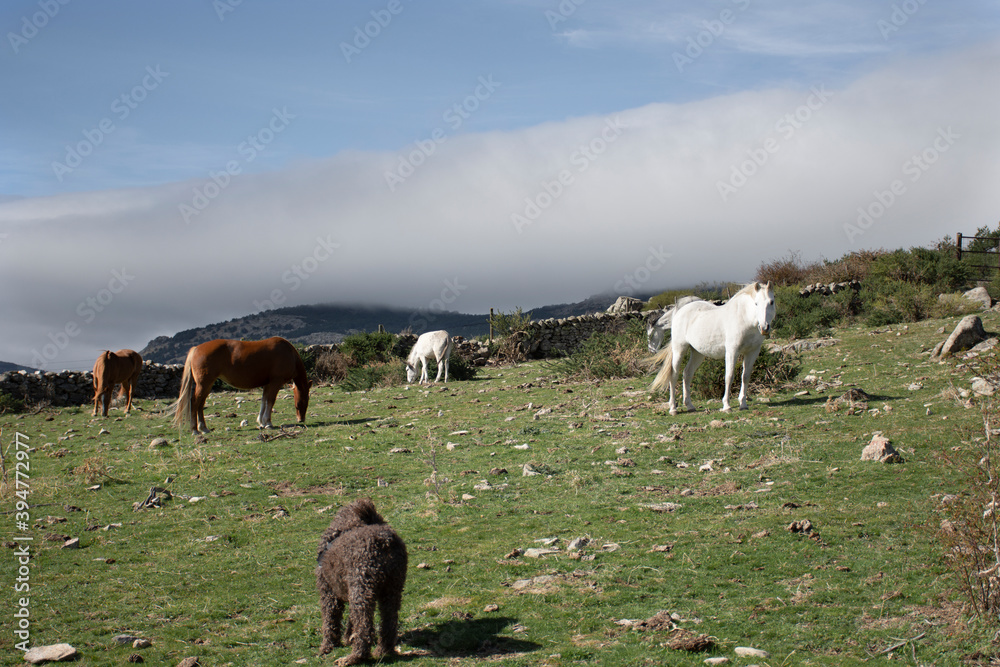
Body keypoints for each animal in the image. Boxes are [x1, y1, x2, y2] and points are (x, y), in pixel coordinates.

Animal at [170, 337, 310, 435]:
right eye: (301, 403)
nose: (301, 419)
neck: (289, 353)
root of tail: (196, 348)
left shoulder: (267, 384)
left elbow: (264, 401)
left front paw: (261, 422)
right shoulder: (275, 382)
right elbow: (270, 401)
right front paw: (268, 423)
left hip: (207, 385)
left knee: (200, 404)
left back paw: (203, 428)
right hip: (203, 384)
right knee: (194, 403)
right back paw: (195, 429)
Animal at [648, 282, 775, 414]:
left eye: (771, 302)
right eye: (756, 303)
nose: (764, 328)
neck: (744, 319)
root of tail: (680, 312)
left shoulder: (752, 352)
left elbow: (745, 376)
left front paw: (743, 404)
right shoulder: (732, 351)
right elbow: (729, 376)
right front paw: (726, 406)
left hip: (697, 353)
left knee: (687, 373)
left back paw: (690, 406)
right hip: (679, 349)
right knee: (674, 374)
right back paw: (673, 408)